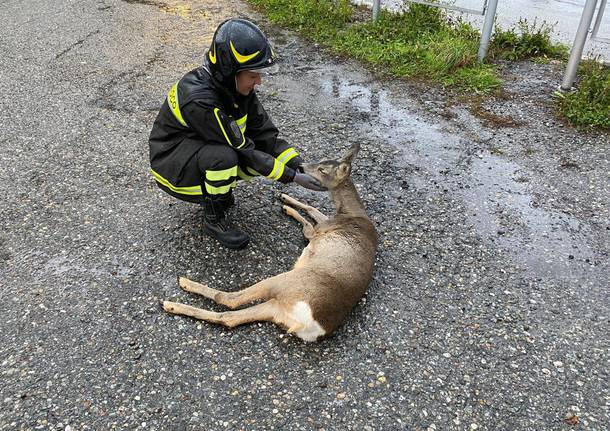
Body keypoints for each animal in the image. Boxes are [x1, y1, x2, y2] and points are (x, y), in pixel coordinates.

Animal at [159, 143, 376, 342]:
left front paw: (287, 204)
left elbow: (309, 217)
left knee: (230, 300)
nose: (302, 167)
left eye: (323, 169)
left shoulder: (318, 231)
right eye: (321, 161)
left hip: (285, 283)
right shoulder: (325, 225)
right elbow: (312, 208)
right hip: (275, 308)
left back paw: (183, 286)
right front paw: (285, 198)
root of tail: (310, 324)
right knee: (229, 317)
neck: (353, 213)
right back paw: (173, 305)